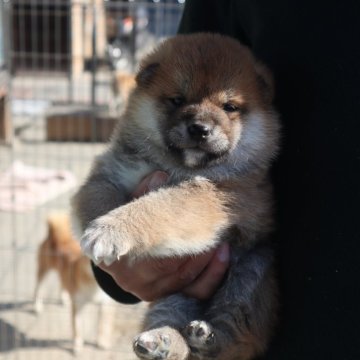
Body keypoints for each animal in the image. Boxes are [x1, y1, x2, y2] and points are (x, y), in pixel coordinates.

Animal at [34, 212, 114, 352]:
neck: (94, 287)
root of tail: (54, 233)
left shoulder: (104, 305)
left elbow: (102, 326)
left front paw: (101, 341)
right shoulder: (78, 305)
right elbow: (77, 328)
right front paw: (77, 345)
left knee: (62, 282)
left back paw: (64, 299)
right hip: (43, 269)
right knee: (38, 286)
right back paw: (37, 305)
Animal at [71, 32, 282, 358]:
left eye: (229, 107)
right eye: (177, 100)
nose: (199, 129)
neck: (177, 166)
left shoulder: (213, 196)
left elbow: (161, 206)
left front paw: (110, 230)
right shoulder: (111, 172)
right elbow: (96, 196)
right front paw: (102, 229)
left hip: (251, 273)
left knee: (236, 334)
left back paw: (207, 337)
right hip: (175, 295)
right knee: (171, 318)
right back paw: (162, 341)